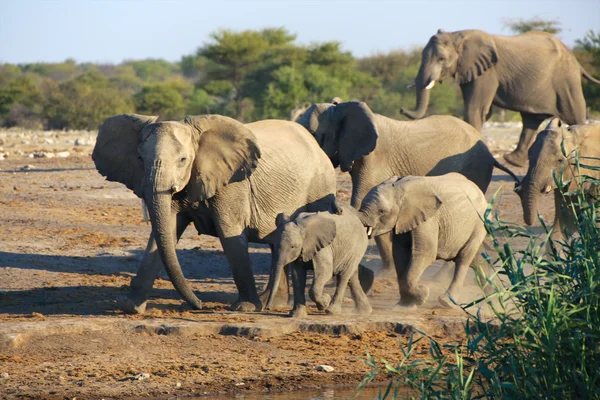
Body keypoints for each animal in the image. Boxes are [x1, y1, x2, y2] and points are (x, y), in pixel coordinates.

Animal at [92, 112, 376, 312]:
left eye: (183, 160)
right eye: (140, 160)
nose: (198, 305)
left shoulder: (232, 184)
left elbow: (230, 236)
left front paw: (247, 308)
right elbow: (164, 234)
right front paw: (129, 306)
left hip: (319, 185)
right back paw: (274, 302)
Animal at [298, 99, 516, 278]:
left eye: (315, 134)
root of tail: (490, 152)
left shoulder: (374, 159)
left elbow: (362, 203)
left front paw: (383, 275)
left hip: (475, 168)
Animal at [356, 173, 492, 308]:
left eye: (382, 211)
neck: (399, 188)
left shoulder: (429, 218)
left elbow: (425, 253)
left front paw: (423, 294)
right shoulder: (403, 219)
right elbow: (400, 254)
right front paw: (404, 306)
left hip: (480, 222)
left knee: (463, 258)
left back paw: (447, 302)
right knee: (477, 260)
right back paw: (493, 298)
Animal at [398, 28, 600, 167]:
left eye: (441, 59)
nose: (400, 109)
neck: (457, 34)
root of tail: (576, 61)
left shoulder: (487, 71)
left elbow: (476, 109)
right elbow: (480, 111)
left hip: (566, 80)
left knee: (574, 115)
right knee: (531, 120)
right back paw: (511, 160)